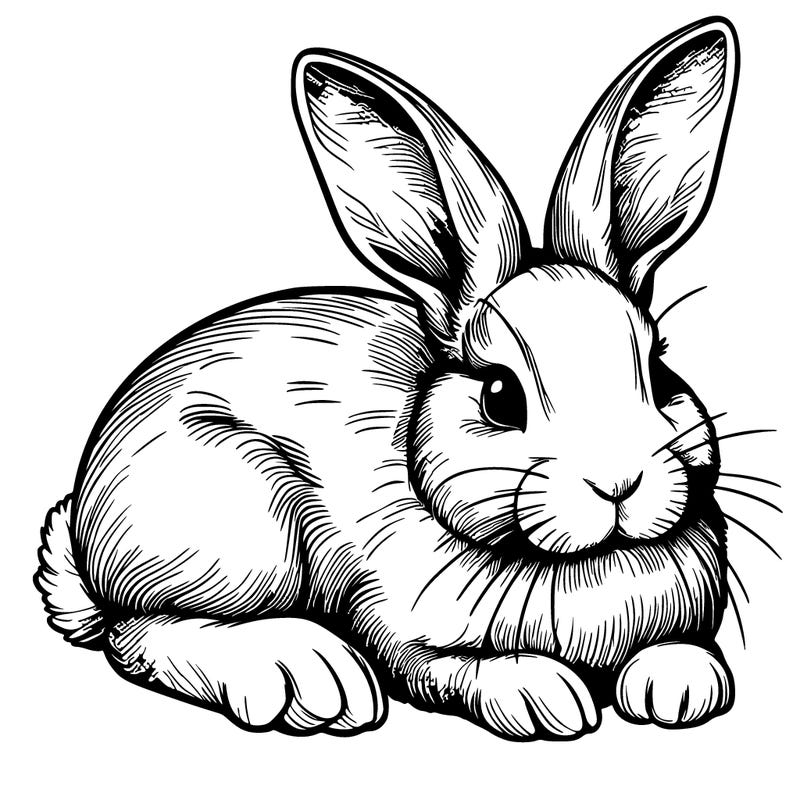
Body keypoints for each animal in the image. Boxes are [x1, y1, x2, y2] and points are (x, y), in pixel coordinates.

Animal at [36, 16, 739, 740]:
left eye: (659, 372)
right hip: (238, 535)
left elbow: (684, 650)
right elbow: (453, 668)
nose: (619, 483)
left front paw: (682, 689)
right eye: (499, 395)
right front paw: (540, 697)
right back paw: (310, 677)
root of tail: (87, 533)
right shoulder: (406, 635)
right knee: (140, 632)